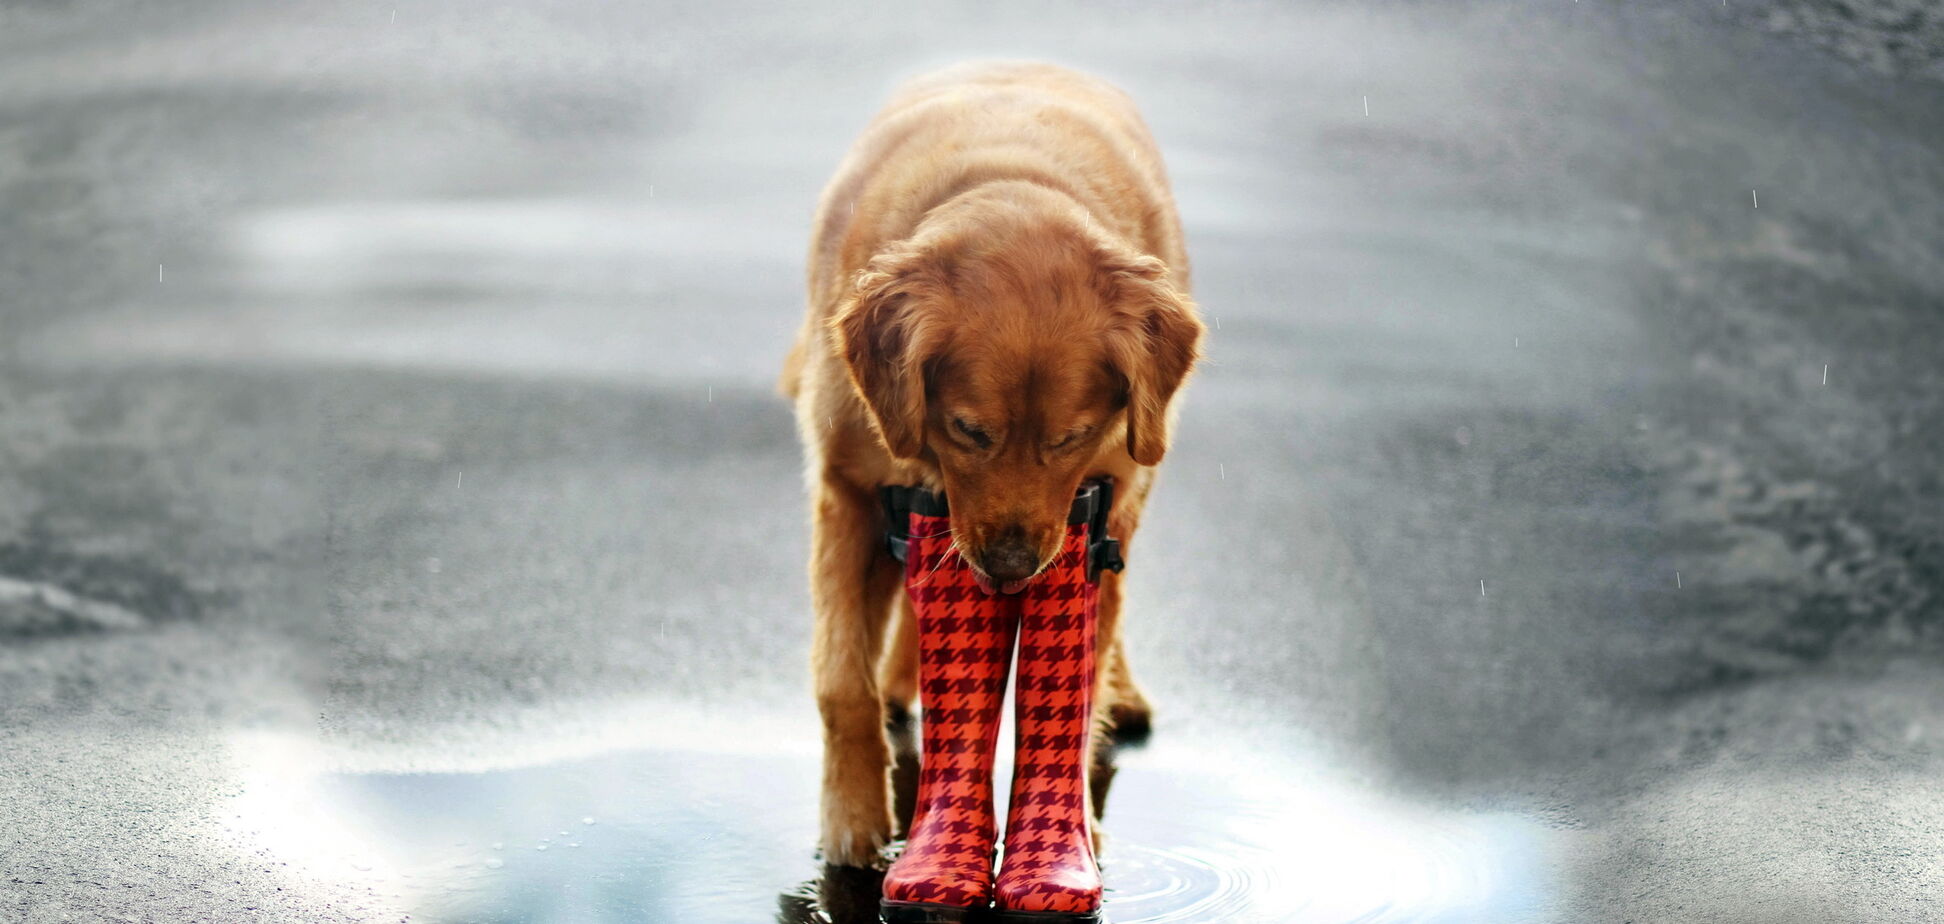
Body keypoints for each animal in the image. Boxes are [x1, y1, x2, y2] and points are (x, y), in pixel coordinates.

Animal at [777, 61, 1197, 871]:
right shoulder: (846, 492)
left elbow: (1077, 692)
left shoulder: (1104, 503)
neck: (1010, 180)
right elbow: (841, 681)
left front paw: (1070, 835)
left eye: (1071, 437)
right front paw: (851, 822)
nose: (1008, 568)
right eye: (969, 430)